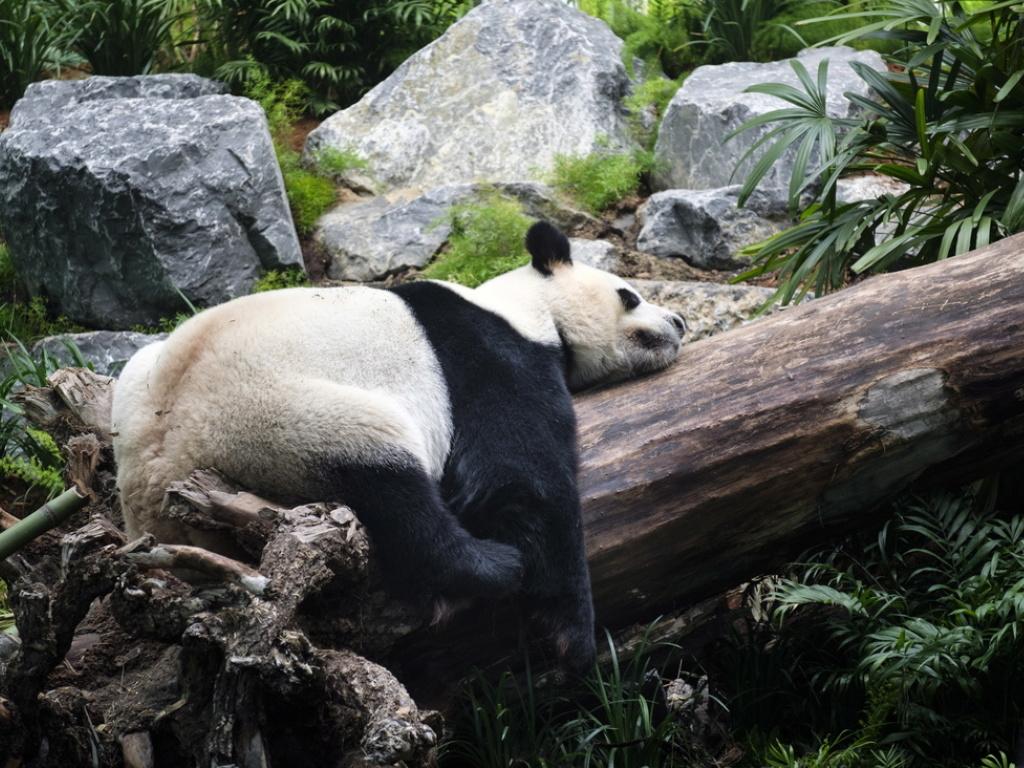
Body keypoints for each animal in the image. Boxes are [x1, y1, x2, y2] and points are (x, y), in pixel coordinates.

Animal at [111, 221, 685, 672]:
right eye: (629, 295)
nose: (678, 322)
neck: (520, 307)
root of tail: (151, 493)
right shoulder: (484, 357)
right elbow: (521, 476)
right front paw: (573, 635)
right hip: (276, 419)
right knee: (389, 487)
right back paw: (491, 563)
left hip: (144, 380)